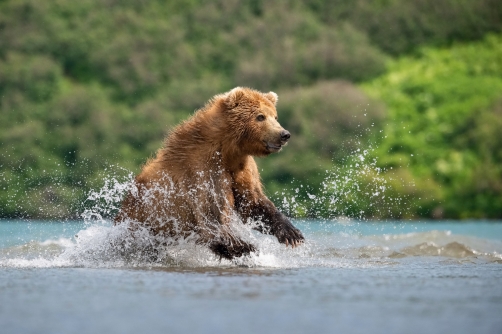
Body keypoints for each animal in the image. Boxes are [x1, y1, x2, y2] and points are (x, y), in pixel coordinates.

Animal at [115, 86, 304, 258]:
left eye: (275, 116)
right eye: (260, 116)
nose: (284, 134)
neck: (229, 150)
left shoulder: (242, 167)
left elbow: (252, 202)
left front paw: (292, 234)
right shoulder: (204, 170)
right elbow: (211, 216)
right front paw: (247, 246)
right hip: (140, 220)